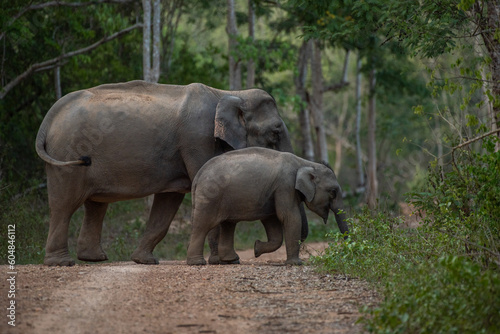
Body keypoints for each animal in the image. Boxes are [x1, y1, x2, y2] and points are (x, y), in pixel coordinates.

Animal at [35, 81, 306, 266]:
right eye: (275, 132)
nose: (257, 248)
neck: (230, 93)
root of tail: (51, 114)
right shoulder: (197, 139)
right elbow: (210, 190)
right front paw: (224, 261)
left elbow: (168, 202)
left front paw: (144, 260)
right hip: (68, 153)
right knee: (64, 204)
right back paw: (62, 262)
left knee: (95, 205)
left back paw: (94, 258)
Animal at [187, 147, 348, 264]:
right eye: (333, 192)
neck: (305, 163)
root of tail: (198, 176)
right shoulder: (285, 186)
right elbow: (289, 217)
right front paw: (296, 264)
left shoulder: (274, 191)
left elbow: (273, 223)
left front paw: (256, 248)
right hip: (209, 197)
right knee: (202, 225)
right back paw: (197, 263)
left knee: (228, 224)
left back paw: (232, 260)